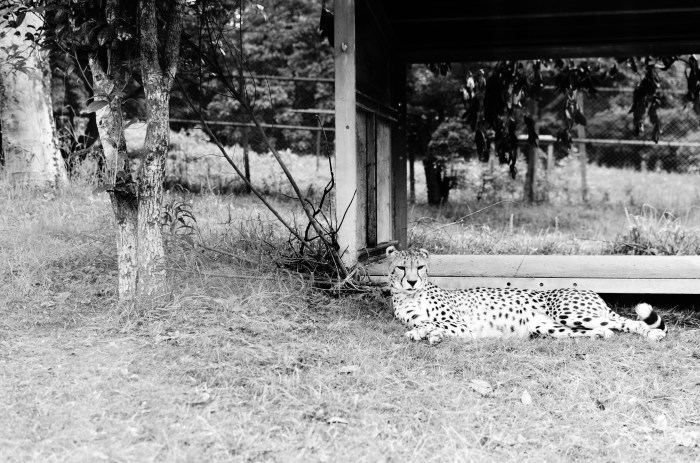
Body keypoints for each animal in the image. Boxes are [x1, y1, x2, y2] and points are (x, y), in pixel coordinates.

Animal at [385, 246, 667, 345]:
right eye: (401, 267)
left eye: (420, 267)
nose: (411, 281)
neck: (410, 295)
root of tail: (588, 290)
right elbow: (424, 324)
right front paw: (423, 334)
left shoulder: (461, 325)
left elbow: (433, 325)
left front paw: (426, 334)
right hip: (545, 327)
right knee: (606, 330)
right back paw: (601, 335)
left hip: (570, 313)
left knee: (627, 322)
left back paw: (654, 334)